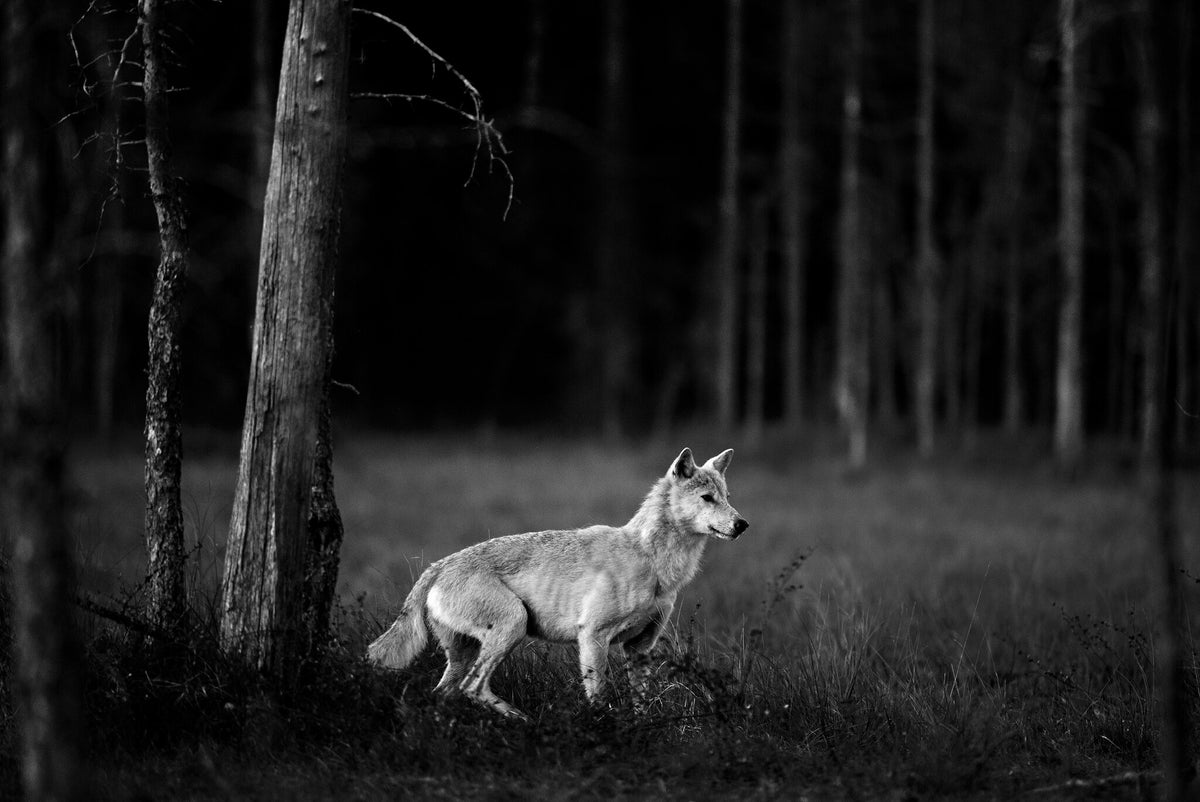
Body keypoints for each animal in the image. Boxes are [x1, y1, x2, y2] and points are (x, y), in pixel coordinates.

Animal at [366, 447, 748, 720]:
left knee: (445, 694)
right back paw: (523, 720)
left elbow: (641, 704)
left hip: (468, 652)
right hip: (513, 626)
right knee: (471, 688)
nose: (742, 524)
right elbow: (598, 698)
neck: (652, 560)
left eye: (728, 497)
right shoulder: (592, 636)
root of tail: (438, 566)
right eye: (707, 498)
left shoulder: (639, 648)